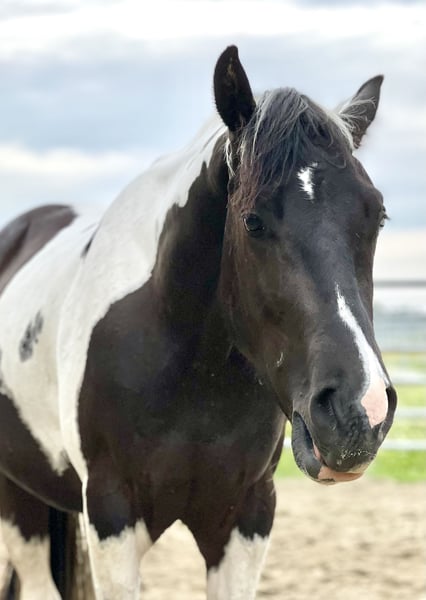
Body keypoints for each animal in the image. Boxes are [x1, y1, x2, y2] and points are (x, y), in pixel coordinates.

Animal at [0, 45, 396, 599]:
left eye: (377, 215)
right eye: (252, 221)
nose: (360, 412)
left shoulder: (246, 517)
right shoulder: (111, 517)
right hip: (17, 497)